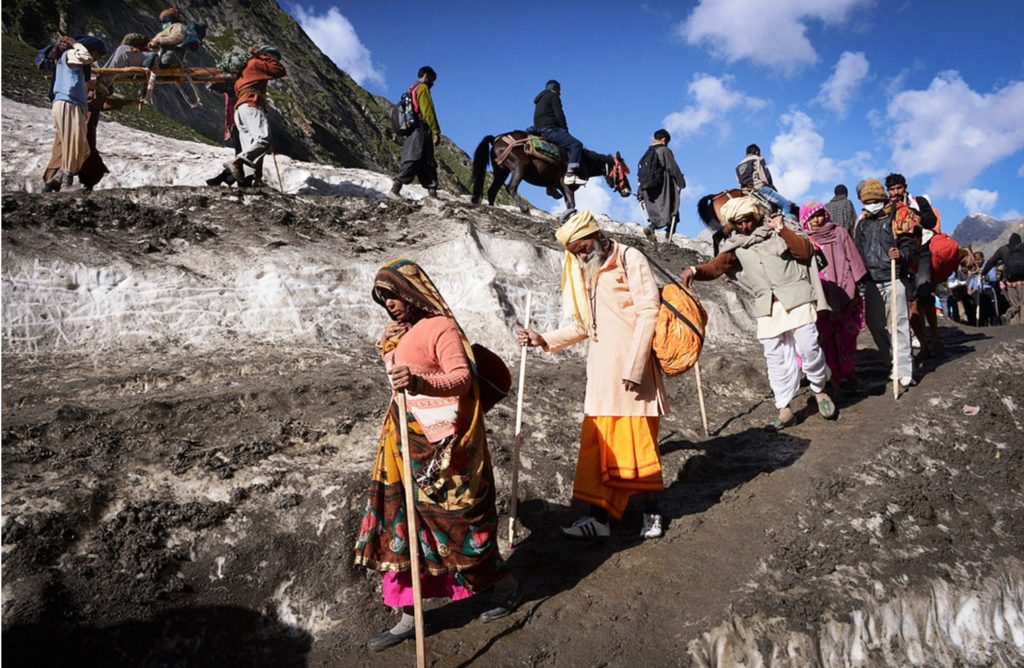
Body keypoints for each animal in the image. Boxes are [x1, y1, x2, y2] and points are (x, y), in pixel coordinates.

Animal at [471, 130, 630, 214]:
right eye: (622, 170)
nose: (628, 191)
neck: (584, 160)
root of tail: (496, 139)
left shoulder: (561, 187)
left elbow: (569, 204)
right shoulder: (566, 184)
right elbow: (572, 204)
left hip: (501, 171)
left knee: (492, 190)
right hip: (518, 168)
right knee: (511, 187)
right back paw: (524, 209)